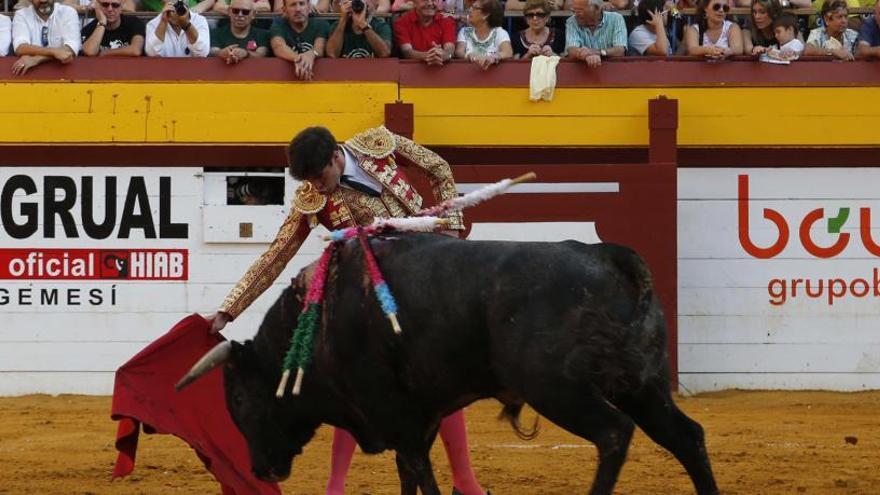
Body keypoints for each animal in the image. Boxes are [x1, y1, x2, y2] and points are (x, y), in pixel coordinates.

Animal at [179, 233, 716, 495]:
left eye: (239, 399)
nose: (260, 469)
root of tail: (609, 257)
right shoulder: (420, 413)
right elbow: (408, 474)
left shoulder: (396, 415)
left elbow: (419, 471)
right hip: (643, 383)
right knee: (686, 436)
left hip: (560, 389)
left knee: (613, 434)